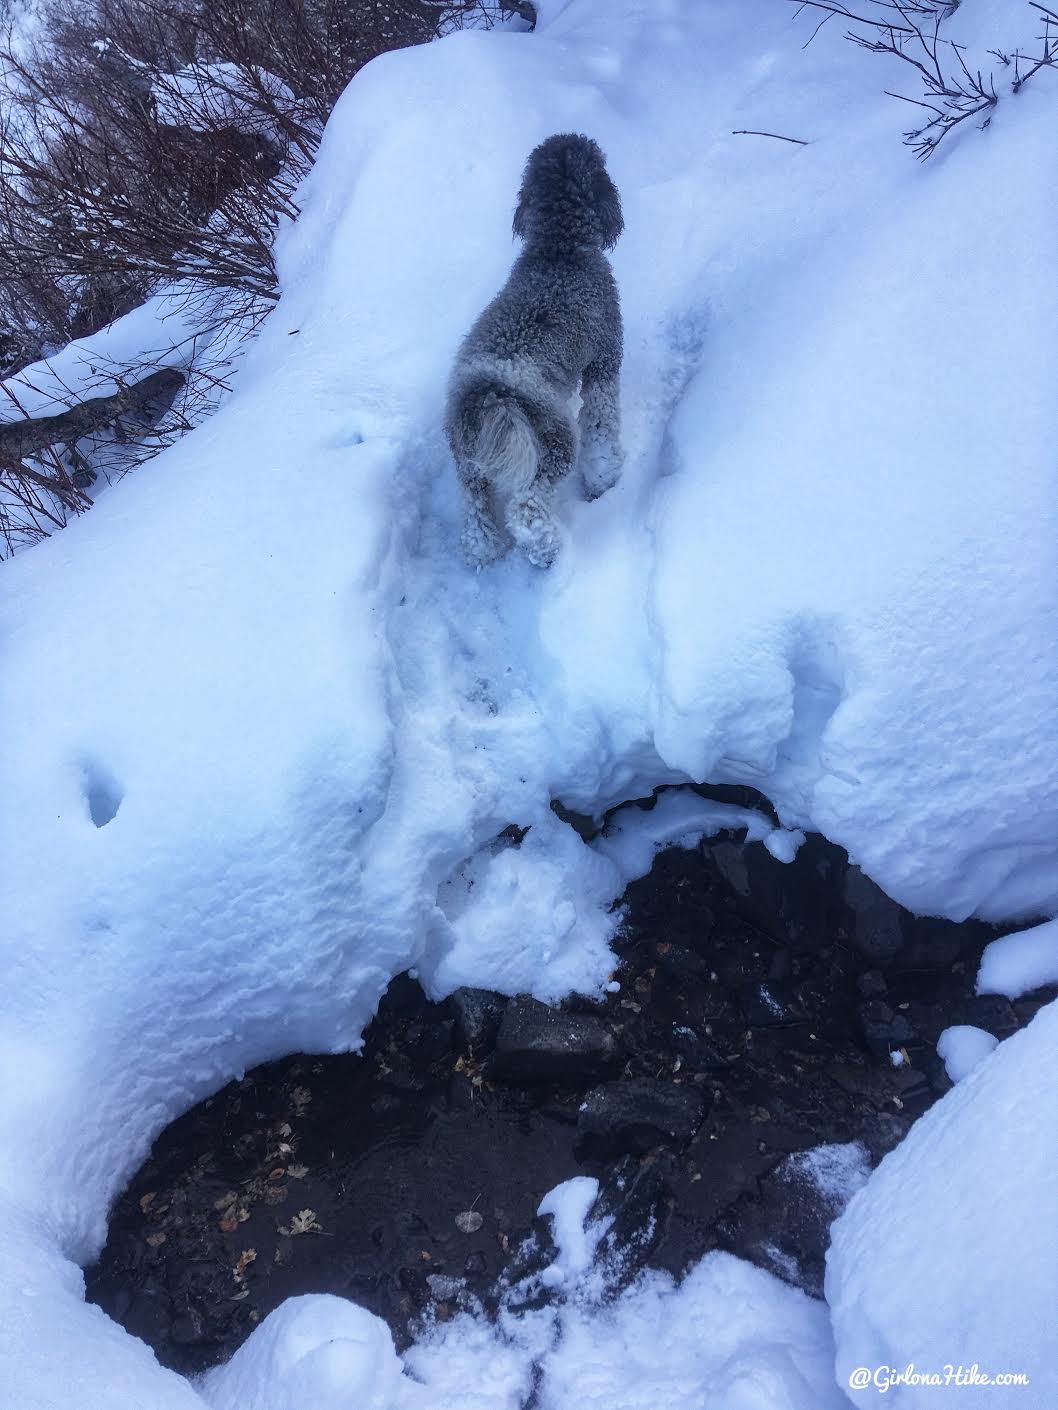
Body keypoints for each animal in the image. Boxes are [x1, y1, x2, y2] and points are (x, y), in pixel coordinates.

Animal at [442, 131, 626, 566]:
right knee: (526, 508)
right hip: (549, 443)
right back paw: (545, 550)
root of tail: (490, 394)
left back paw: (486, 551)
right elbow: (601, 421)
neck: (559, 246)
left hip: (468, 466)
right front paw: (604, 476)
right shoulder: (605, 357)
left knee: (476, 521)